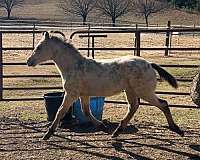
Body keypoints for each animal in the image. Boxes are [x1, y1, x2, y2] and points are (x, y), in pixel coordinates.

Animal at [27, 30, 184, 139]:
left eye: (39, 47)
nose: (29, 61)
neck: (74, 66)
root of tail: (149, 64)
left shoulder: (71, 94)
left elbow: (60, 111)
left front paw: (47, 134)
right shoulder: (84, 95)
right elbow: (86, 112)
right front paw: (102, 126)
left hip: (144, 92)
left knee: (163, 104)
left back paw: (176, 128)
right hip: (130, 91)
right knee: (133, 107)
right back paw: (117, 131)